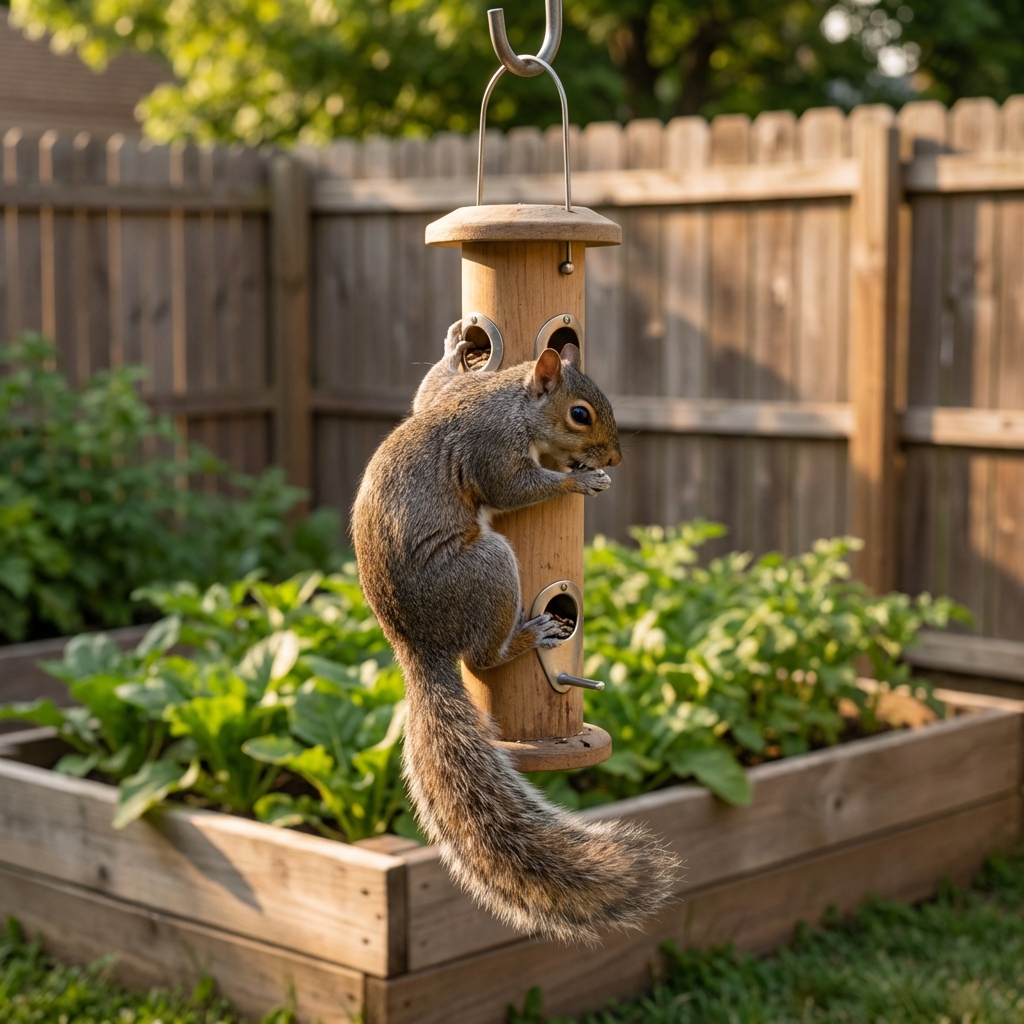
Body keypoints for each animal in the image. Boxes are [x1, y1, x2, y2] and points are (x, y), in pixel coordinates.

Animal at [351, 319, 679, 944]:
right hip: (488, 568)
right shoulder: (492, 451)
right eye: (580, 414)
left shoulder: (446, 398)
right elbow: (512, 490)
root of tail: (415, 646)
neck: (509, 402)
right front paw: (577, 482)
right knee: (484, 656)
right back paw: (530, 636)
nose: (615, 456)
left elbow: (425, 395)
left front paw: (455, 350)